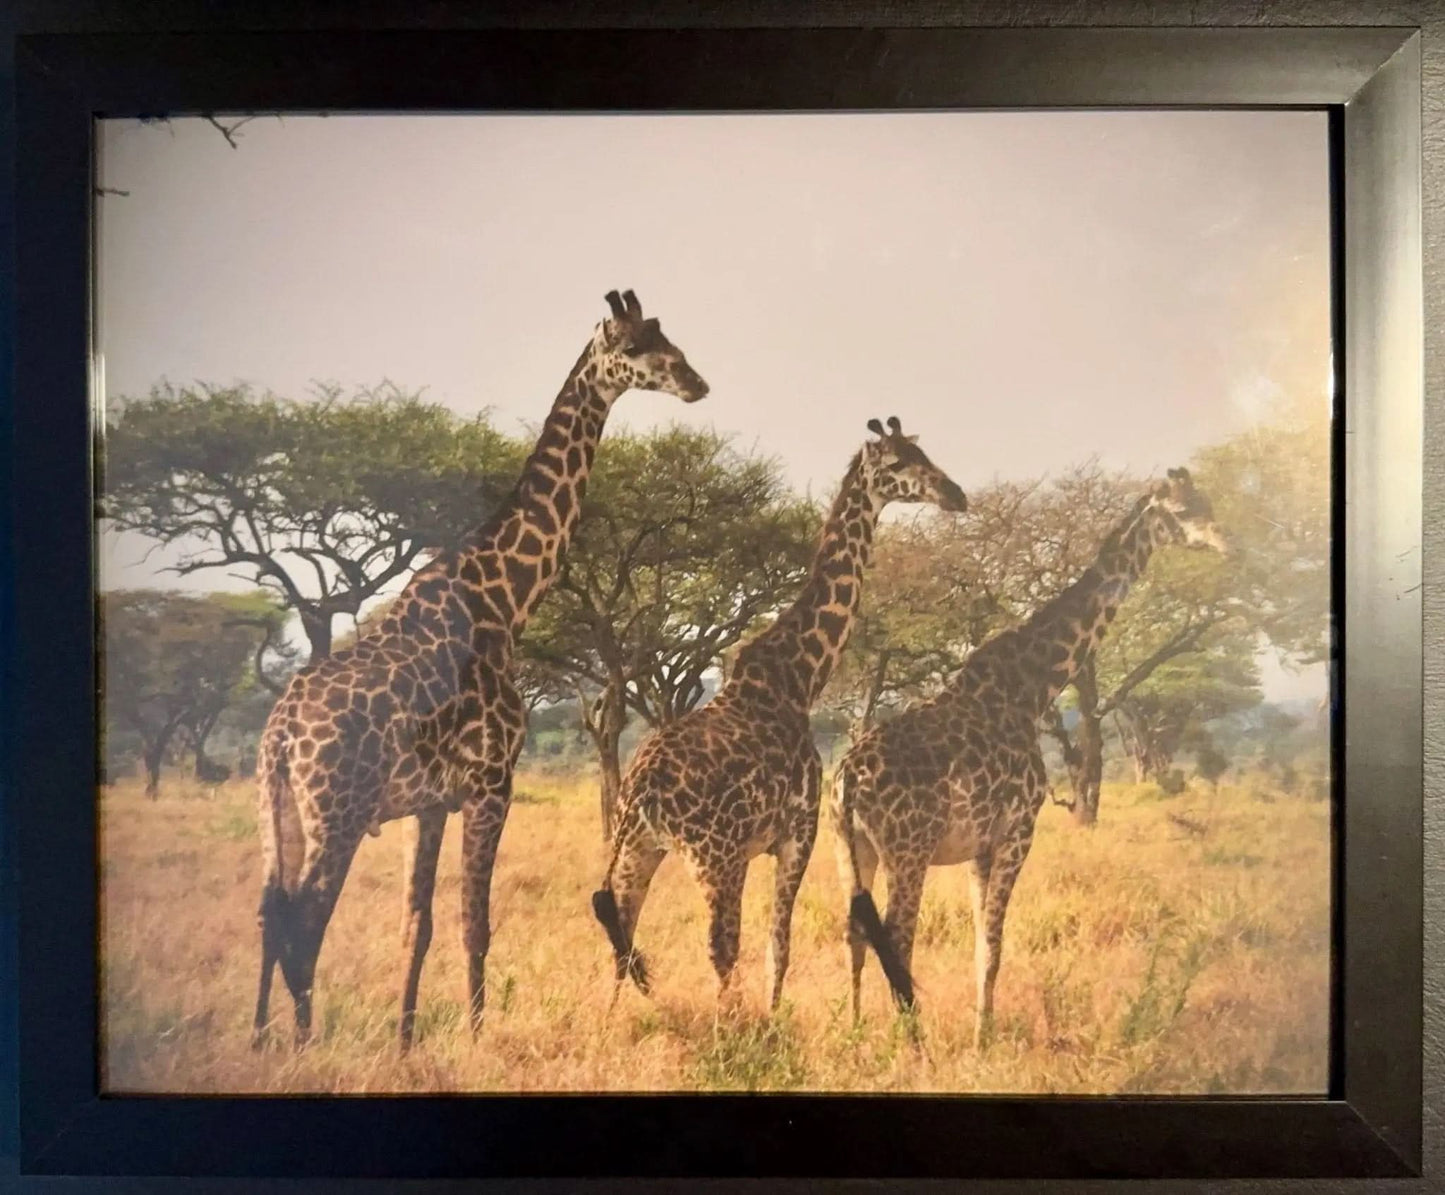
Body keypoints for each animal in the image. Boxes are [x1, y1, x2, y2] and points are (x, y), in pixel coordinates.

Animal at [252, 290, 709, 1051]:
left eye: (667, 339)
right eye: (639, 347)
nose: (696, 383)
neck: (506, 594)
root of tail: (282, 735)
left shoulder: (431, 802)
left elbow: (417, 924)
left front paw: (406, 1042)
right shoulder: (494, 780)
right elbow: (476, 921)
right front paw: (474, 1038)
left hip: (278, 810)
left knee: (269, 912)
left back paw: (260, 1041)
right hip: (337, 813)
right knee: (305, 919)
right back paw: (303, 1047)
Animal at [592, 417, 967, 1012]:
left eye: (923, 453)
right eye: (898, 463)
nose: (956, 495)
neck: (802, 675)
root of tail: (639, 791)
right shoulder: (798, 832)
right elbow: (779, 946)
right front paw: (771, 1021)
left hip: (639, 850)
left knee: (621, 933)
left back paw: (617, 1024)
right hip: (713, 858)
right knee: (719, 947)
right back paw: (728, 1026)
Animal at [833, 467, 1229, 1046]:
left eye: (1207, 502)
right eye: (1182, 511)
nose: (1228, 543)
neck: (1035, 684)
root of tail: (846, 782)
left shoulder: (979, 845)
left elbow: (981, 941)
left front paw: (980, 1031)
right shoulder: (1019, 830)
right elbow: (994, 947)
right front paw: (983, 1041)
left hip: (851, 848)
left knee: (856, 937)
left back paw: (859, 1036)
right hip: (907, 852)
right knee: (898, 942)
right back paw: (914, 1047)